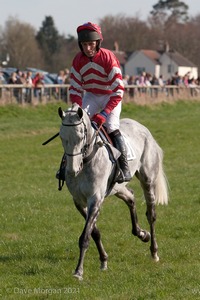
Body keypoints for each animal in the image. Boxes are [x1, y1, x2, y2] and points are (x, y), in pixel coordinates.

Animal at [58, 102, 169, 278]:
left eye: (81, 136)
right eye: (62, 137)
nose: (71, 170)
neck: (87, 160)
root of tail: (143, 128)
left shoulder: (95, 199)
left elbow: (85, 236)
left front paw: (79, 270)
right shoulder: (79, 201)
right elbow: (94, 232)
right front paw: (103, 260)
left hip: (147, 180)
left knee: (151, 215)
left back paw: (154, 251)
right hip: (117, 188)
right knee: (131, 197)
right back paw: (142, 233)